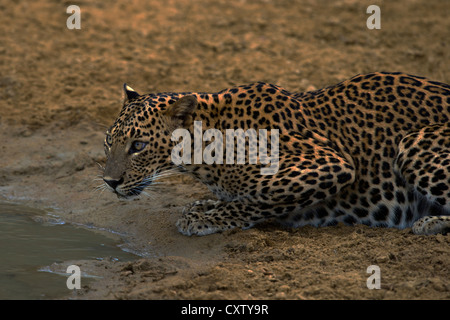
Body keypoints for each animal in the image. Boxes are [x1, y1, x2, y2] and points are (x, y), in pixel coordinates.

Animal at [102, 73, 450, 238]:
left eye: (138, 146)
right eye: (108, 141)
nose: (108, 182)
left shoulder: (328, 164)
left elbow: (257, 197)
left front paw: (203, 218)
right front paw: (205, 205)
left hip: (414, 143)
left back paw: (428, 222)